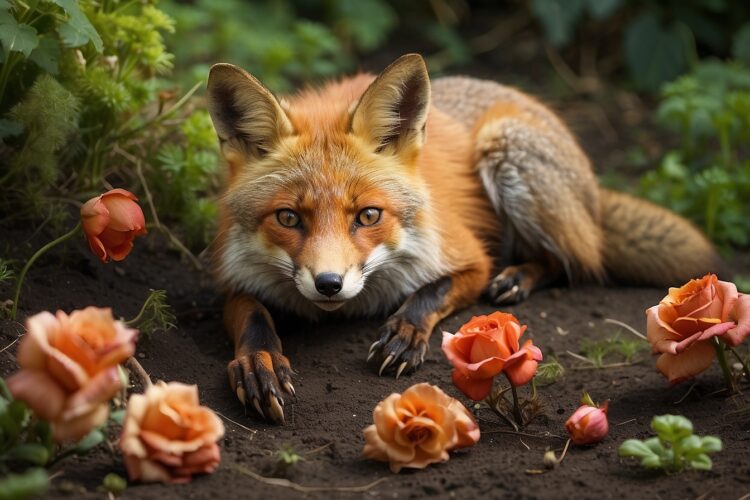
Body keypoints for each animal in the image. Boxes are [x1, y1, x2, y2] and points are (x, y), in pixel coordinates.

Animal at [206, 54, 722, 424]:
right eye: (289, 218)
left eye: (368, 215)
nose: (329, 284)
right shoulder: (234, 278)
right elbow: (252, 317)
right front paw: (259, 365)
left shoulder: (469, 257)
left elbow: (430, 292)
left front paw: (405, 333)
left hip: (506, 149)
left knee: (573, 259)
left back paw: (518, 277)